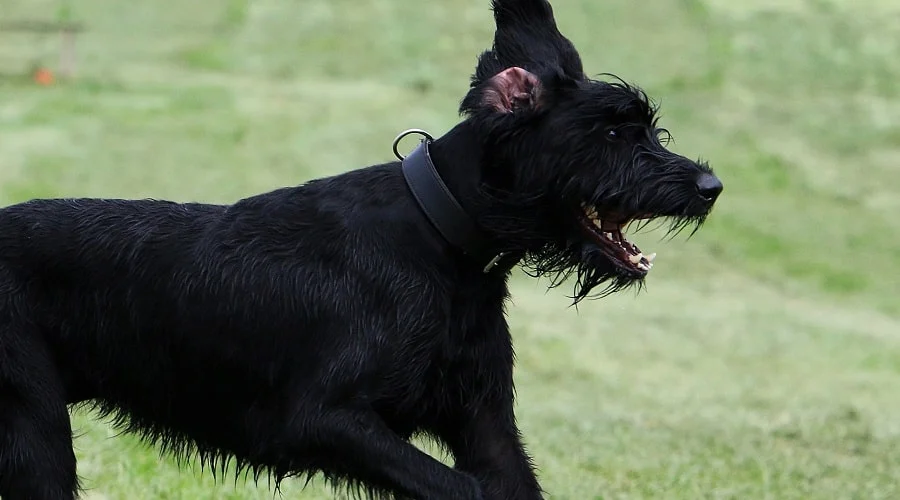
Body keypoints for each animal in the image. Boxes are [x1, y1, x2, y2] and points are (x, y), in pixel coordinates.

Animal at [0, 0, 720, 500]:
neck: (440, 241)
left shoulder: (485, 425)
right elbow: (461, 487)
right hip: (36, 437)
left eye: (646, 128)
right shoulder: (321, 421)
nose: (710, 186)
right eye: (612, 133)